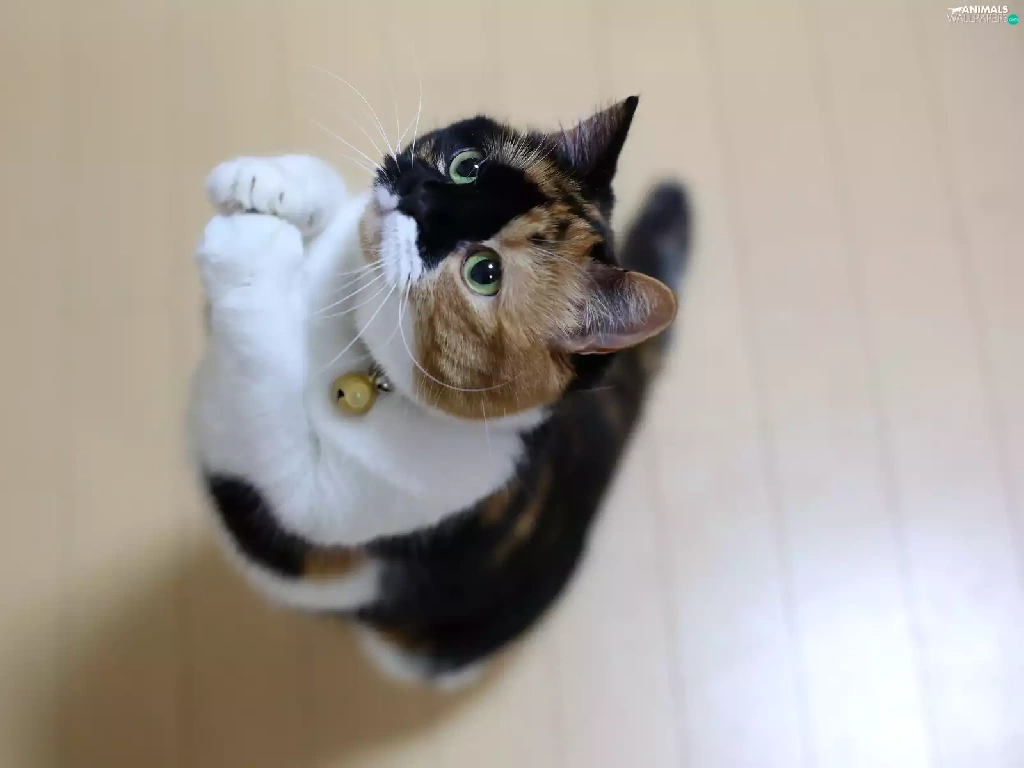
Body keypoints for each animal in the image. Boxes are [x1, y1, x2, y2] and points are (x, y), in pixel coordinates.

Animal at [189, 96, 691, 687]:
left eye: (485, 271)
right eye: (467, 166)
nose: (418, 198)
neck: (357, 339)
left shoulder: (318, 500)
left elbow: (260, 377)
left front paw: (248, 246)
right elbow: (338, 200)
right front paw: (268, 182)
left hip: (415, 656)